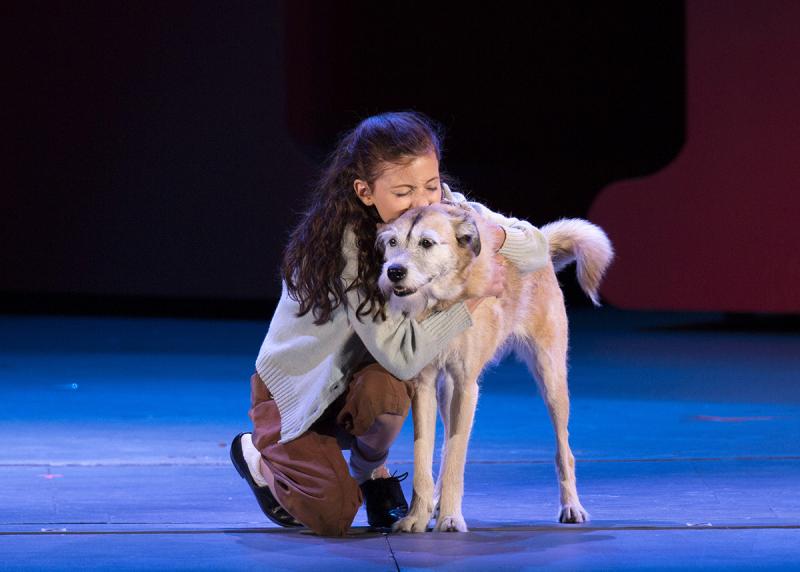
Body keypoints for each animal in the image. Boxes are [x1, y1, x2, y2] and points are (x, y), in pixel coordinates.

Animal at [378, 201, 616, 532]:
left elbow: (456, 460)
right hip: (446, 394)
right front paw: (417, 517)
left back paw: (572, 506)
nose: (394, 272)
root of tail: (542, 244)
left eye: (426, 243)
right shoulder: (423, 386)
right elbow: (424, 457)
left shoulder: (466, 386)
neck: (441, 303)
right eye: (392, 243)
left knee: (564, 450)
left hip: (552, 380)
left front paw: (451, 517)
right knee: (446, 447)